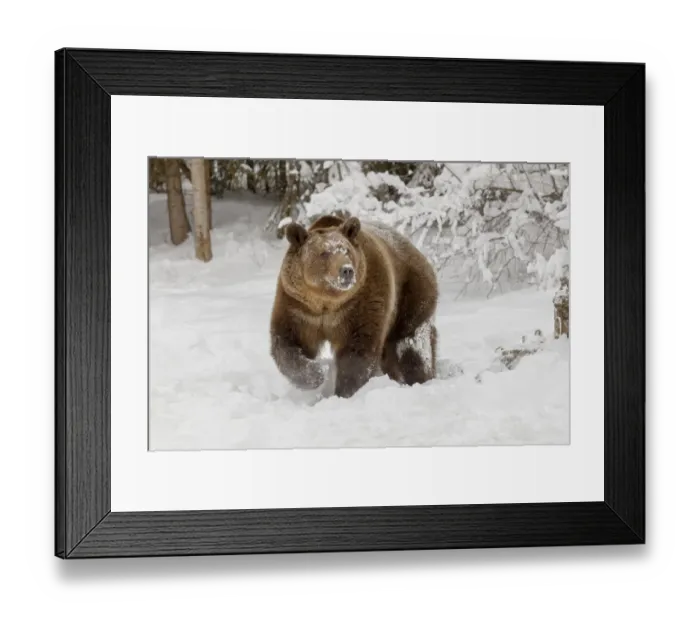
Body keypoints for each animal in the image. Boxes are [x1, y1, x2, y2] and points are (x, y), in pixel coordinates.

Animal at [270, 214, 439, 399]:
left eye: (346, 251)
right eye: (324, 253)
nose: (346, 270)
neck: (326, 302)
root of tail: (413, 247)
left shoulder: (359, 305)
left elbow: (357, 352)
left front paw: (345, 392)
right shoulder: (299, 308)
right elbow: (288, 343)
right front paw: (316, 374)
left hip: (411, 294)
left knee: (412, 344)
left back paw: (421, 379)